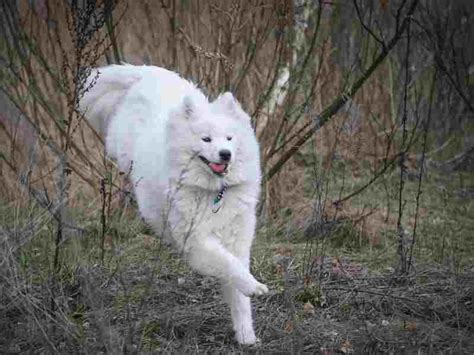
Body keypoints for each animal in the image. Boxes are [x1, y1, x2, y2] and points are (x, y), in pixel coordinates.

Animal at [79, 64, 268, 344]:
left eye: (229, 138)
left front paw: (246, 335)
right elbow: (228, 265)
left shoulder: (238, 241)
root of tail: (144, 74)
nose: (225, 154)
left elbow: (238, 293)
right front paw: (253, 286)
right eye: (206, 139)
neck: (215, 193)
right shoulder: (197, 242)